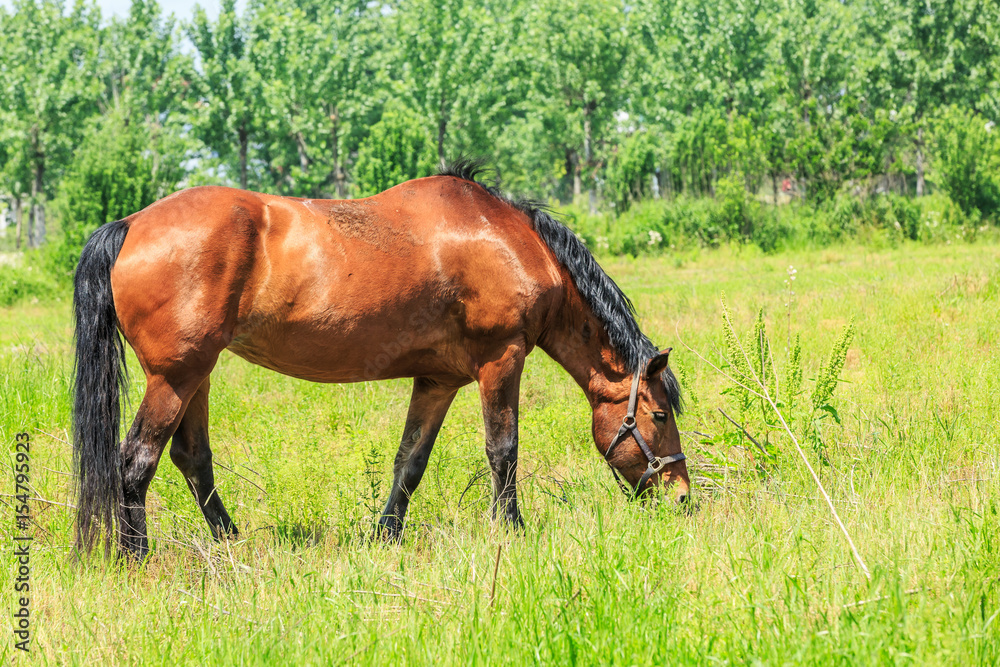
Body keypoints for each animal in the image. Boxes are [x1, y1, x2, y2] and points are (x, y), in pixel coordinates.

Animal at [74, 159, 692, 560]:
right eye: (659, 416)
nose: (682, 497)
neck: (510, 242)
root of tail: (131, 225)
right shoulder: (501, 361)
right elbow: (504, 450)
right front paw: (512, 530)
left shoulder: (438, 380)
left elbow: (409, 461)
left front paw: (386, 535)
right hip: (175, 377)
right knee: (135, 461)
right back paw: (136, 556)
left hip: (196, 374)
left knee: (191, 457)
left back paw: (230, 542)